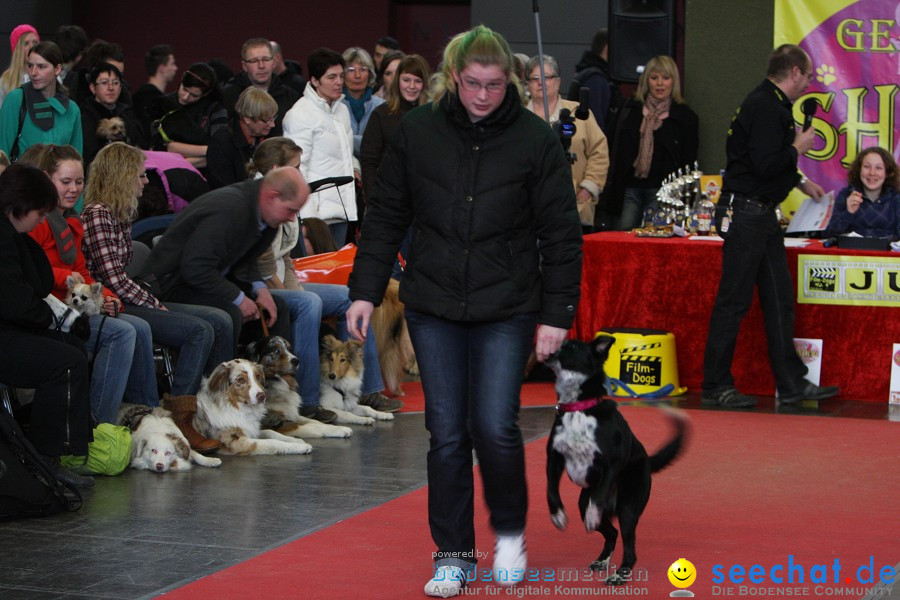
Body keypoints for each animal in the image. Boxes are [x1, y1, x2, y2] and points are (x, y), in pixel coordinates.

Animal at [544, 338, 684, 584]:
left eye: (571, 346)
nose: (549, 349)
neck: (579, 407)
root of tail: (647, 461)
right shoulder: (554, 458)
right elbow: (551, 491)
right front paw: (558, 515)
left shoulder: (611, 463)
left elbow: (598, 495)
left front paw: (591, 515)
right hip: (584, 501)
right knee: (612, 533)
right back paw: (602, 561)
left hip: (628, 507)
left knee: (629, 547)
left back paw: (620, 574)